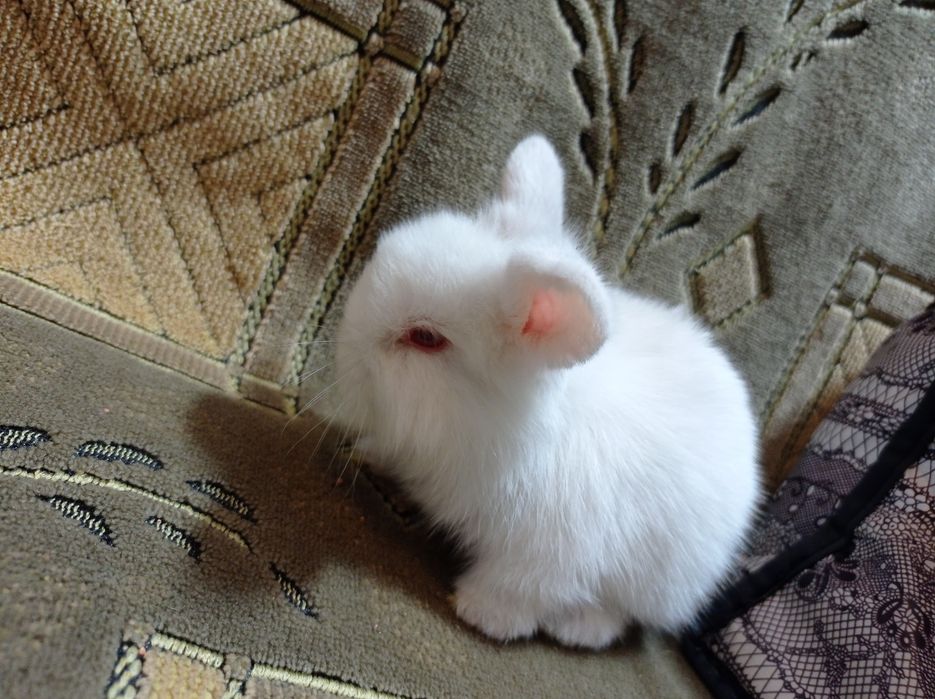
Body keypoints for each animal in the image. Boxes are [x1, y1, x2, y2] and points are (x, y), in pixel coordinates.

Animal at [333, 134, 760, 649]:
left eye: (425, 338)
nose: (343, 354)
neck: (496, 428)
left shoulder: (548, 555)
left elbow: (521, 588)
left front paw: (479, 612)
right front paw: (363, 452)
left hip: (658, 580)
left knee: (620, 616)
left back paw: (578, 628)